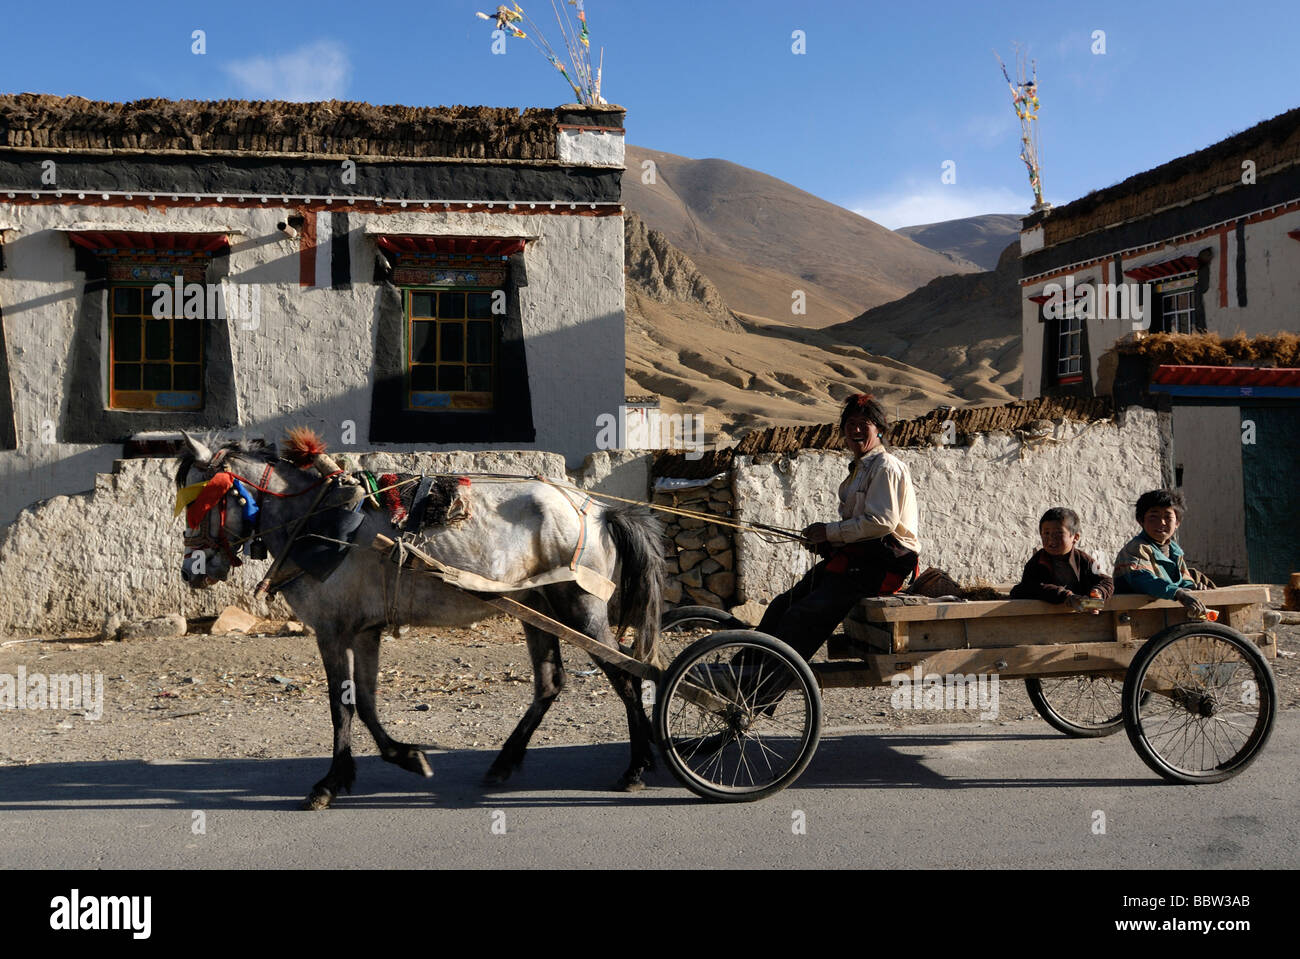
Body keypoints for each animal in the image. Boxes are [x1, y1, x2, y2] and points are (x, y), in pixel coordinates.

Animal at [175, 428, 660, 805]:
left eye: (199, 503)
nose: (190, 571)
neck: (319, 520)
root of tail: (598, 510)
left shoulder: (332, 631)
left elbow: (340, 705)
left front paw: (329, 784)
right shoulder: (364, 631)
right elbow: (365, 701)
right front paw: (405, 757)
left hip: (580, 607)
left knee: (627, 675)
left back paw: (637, 767)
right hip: (537, 606)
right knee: (550, 682)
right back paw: (504, 763)